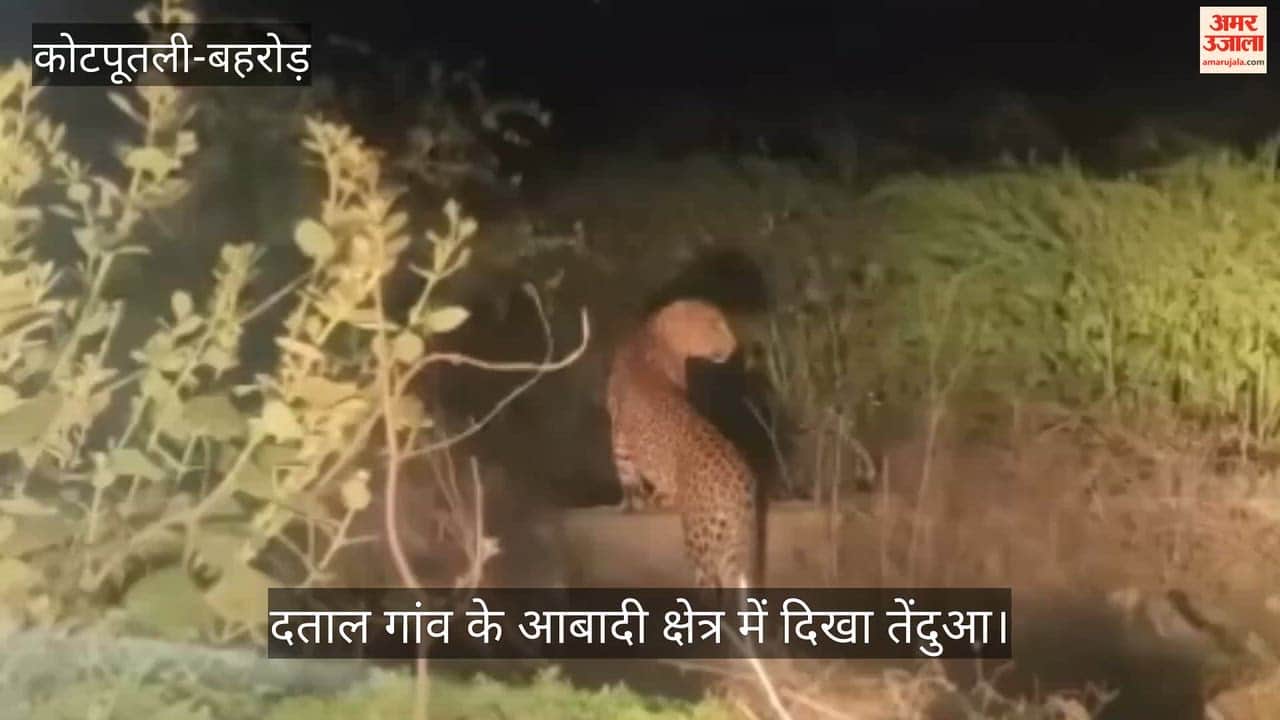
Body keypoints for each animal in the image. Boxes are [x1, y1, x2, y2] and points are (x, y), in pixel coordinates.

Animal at [605, 298, 762, 590]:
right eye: (714, 323)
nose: (735, 345)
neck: (654, 336)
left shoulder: (618, 433)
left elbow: (626, 473)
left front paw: (629, 504)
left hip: (701, 542)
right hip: (739, 542)